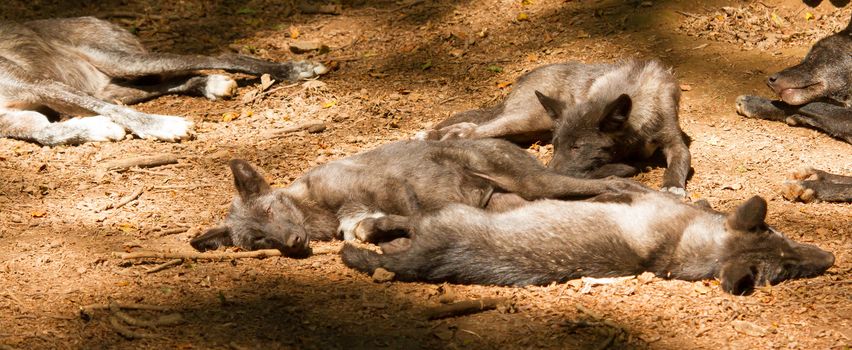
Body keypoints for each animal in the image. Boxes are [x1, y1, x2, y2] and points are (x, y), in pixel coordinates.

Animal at [0, 16, 328, 145]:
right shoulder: (22, 120)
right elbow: (48, 133)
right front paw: (97, 129)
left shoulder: (43, 85)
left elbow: (113, 112)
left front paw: (165, 126)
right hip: (115, 85)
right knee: (160, 85)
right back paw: (211, 85)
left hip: (122, 61)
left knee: (217, 55)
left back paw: (295, 69)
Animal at [190, 139, 648, 258]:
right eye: (258, 240)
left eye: (270, 209)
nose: (293, 243)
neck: (319, 212)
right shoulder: (360, 220)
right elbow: (371, 229)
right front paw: (392, 237)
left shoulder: (391, 187)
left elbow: (414, 217)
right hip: (520, 204)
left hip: (535, 183)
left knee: (612, 185)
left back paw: (641, 191)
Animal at [420, 60, 692, 197]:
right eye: (556, 146)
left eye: (577, 147)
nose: (550, 174)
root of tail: (523, 77)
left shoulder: (674, 141)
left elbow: (680, 160)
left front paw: (673, 185)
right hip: (527, 120)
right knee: (475, 128)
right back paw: (437, 135)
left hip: (527, 129)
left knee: (474, 125)